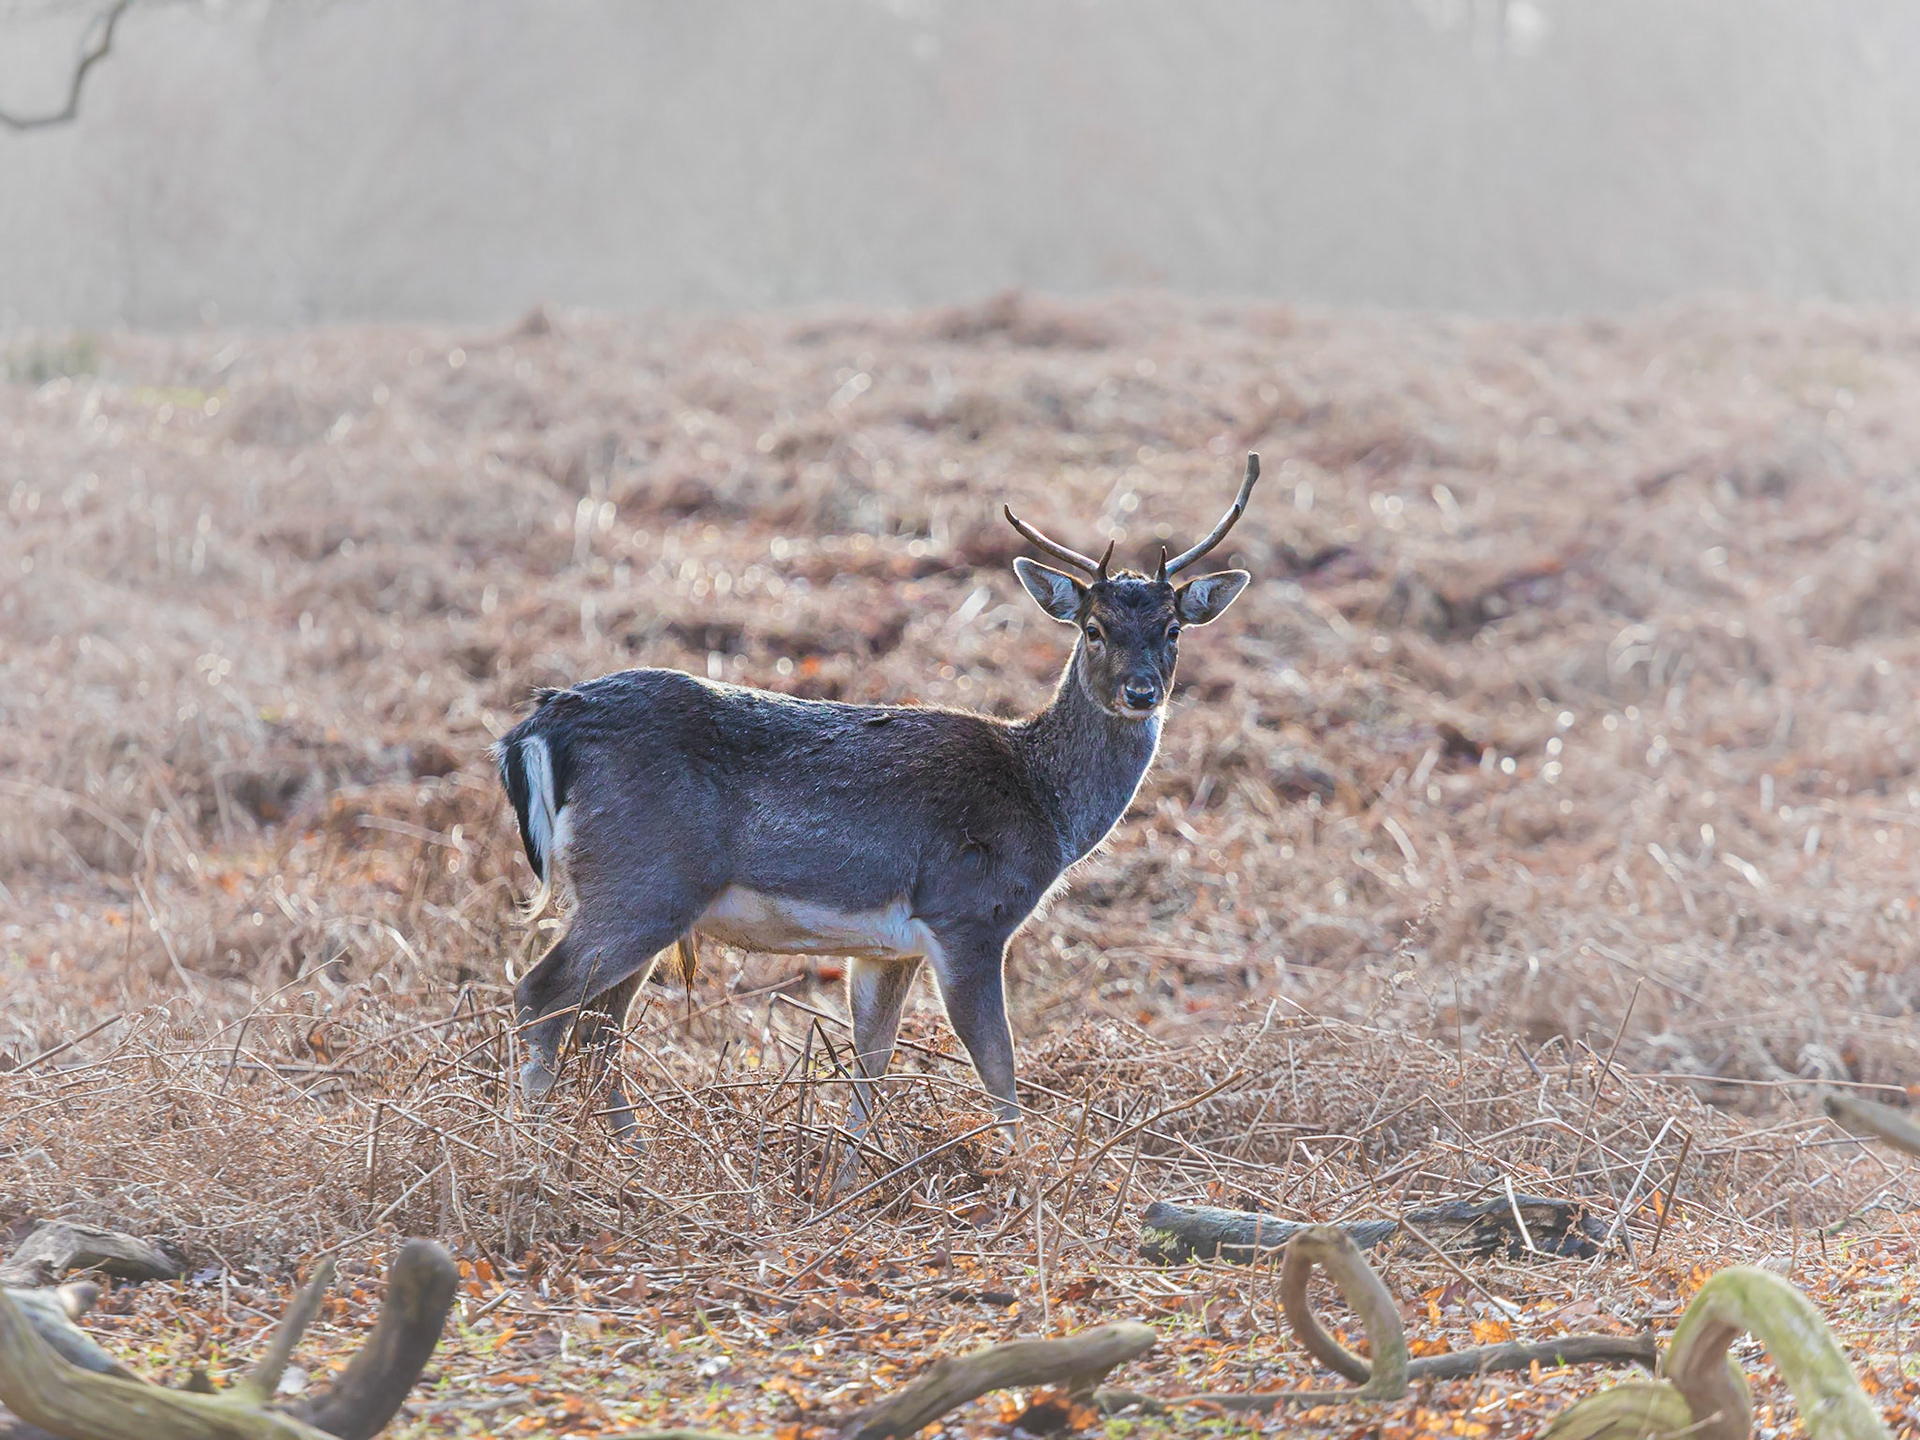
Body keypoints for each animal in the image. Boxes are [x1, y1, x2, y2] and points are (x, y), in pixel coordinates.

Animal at [496, 454, 1259, 1165]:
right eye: (1094, 628)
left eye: (1172, 629)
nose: (1141, 691)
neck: (1045, 805)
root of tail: (541, 724)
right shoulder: (968, 914)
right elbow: (999, 1068)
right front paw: (1020, 1170)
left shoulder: (887, 948)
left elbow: (873, 1060)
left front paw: (852, 1170)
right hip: (641, 882)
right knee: (542, 995)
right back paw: (531, 1151)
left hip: (642, 898)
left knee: (598, 1027)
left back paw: (625, 1150)